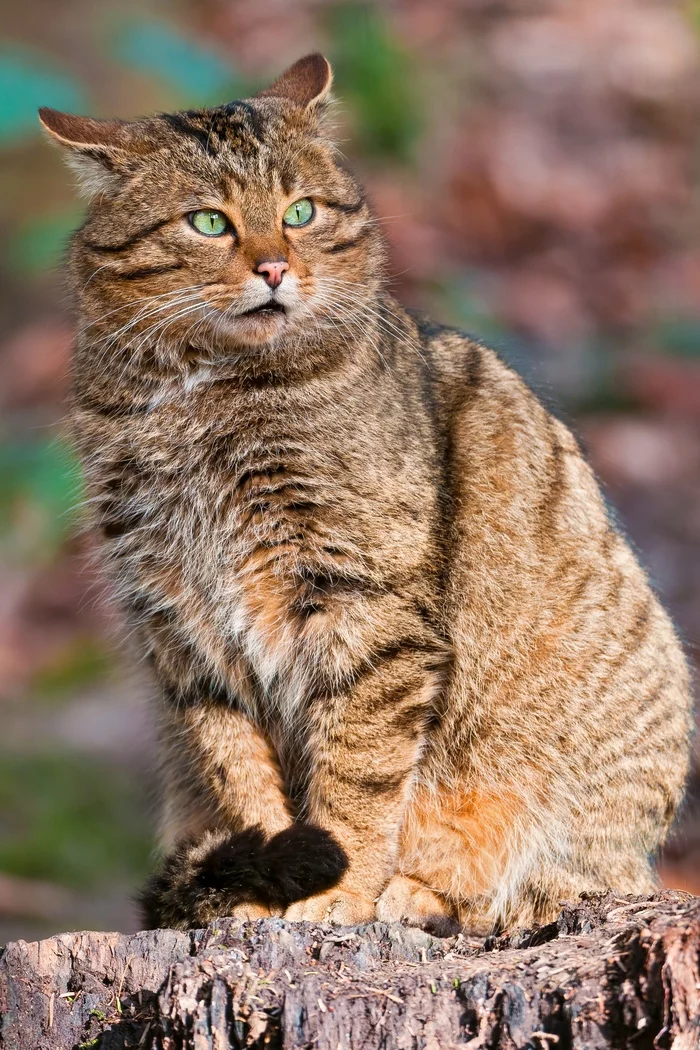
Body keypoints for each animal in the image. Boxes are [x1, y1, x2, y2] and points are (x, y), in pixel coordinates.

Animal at [39, 53, 696, 932]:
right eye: (208, 222)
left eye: (301, 211)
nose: (274, 267)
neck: (204, 400)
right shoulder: (178, 622)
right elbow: (240, 774)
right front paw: (267, 887)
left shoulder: (364, 604)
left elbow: (357, 772)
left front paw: (337, 893)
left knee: (539, 886)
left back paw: (415, 893)